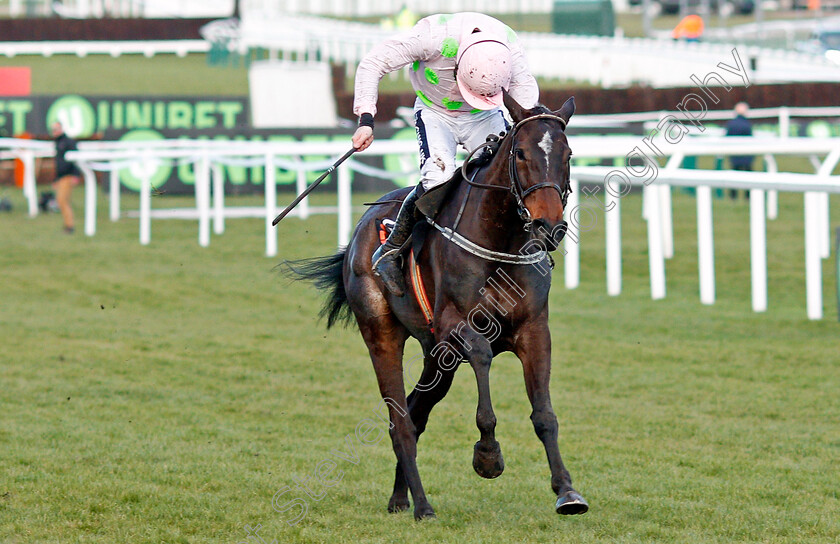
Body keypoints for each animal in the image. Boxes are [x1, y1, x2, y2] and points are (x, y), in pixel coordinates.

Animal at [286, 92, 588, 520]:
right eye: (522, 153)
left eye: (567, 153)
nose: (550, 226)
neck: (499, 241)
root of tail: (361, 228)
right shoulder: (453, 326)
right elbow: (481, 356)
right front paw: (488, 455)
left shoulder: (534, 330)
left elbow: (544, 414)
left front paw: (567, 491)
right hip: (382, 334)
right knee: (400, 421)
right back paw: (422, 505)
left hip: (437, 357)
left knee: (416, 413)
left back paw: (400, 498)